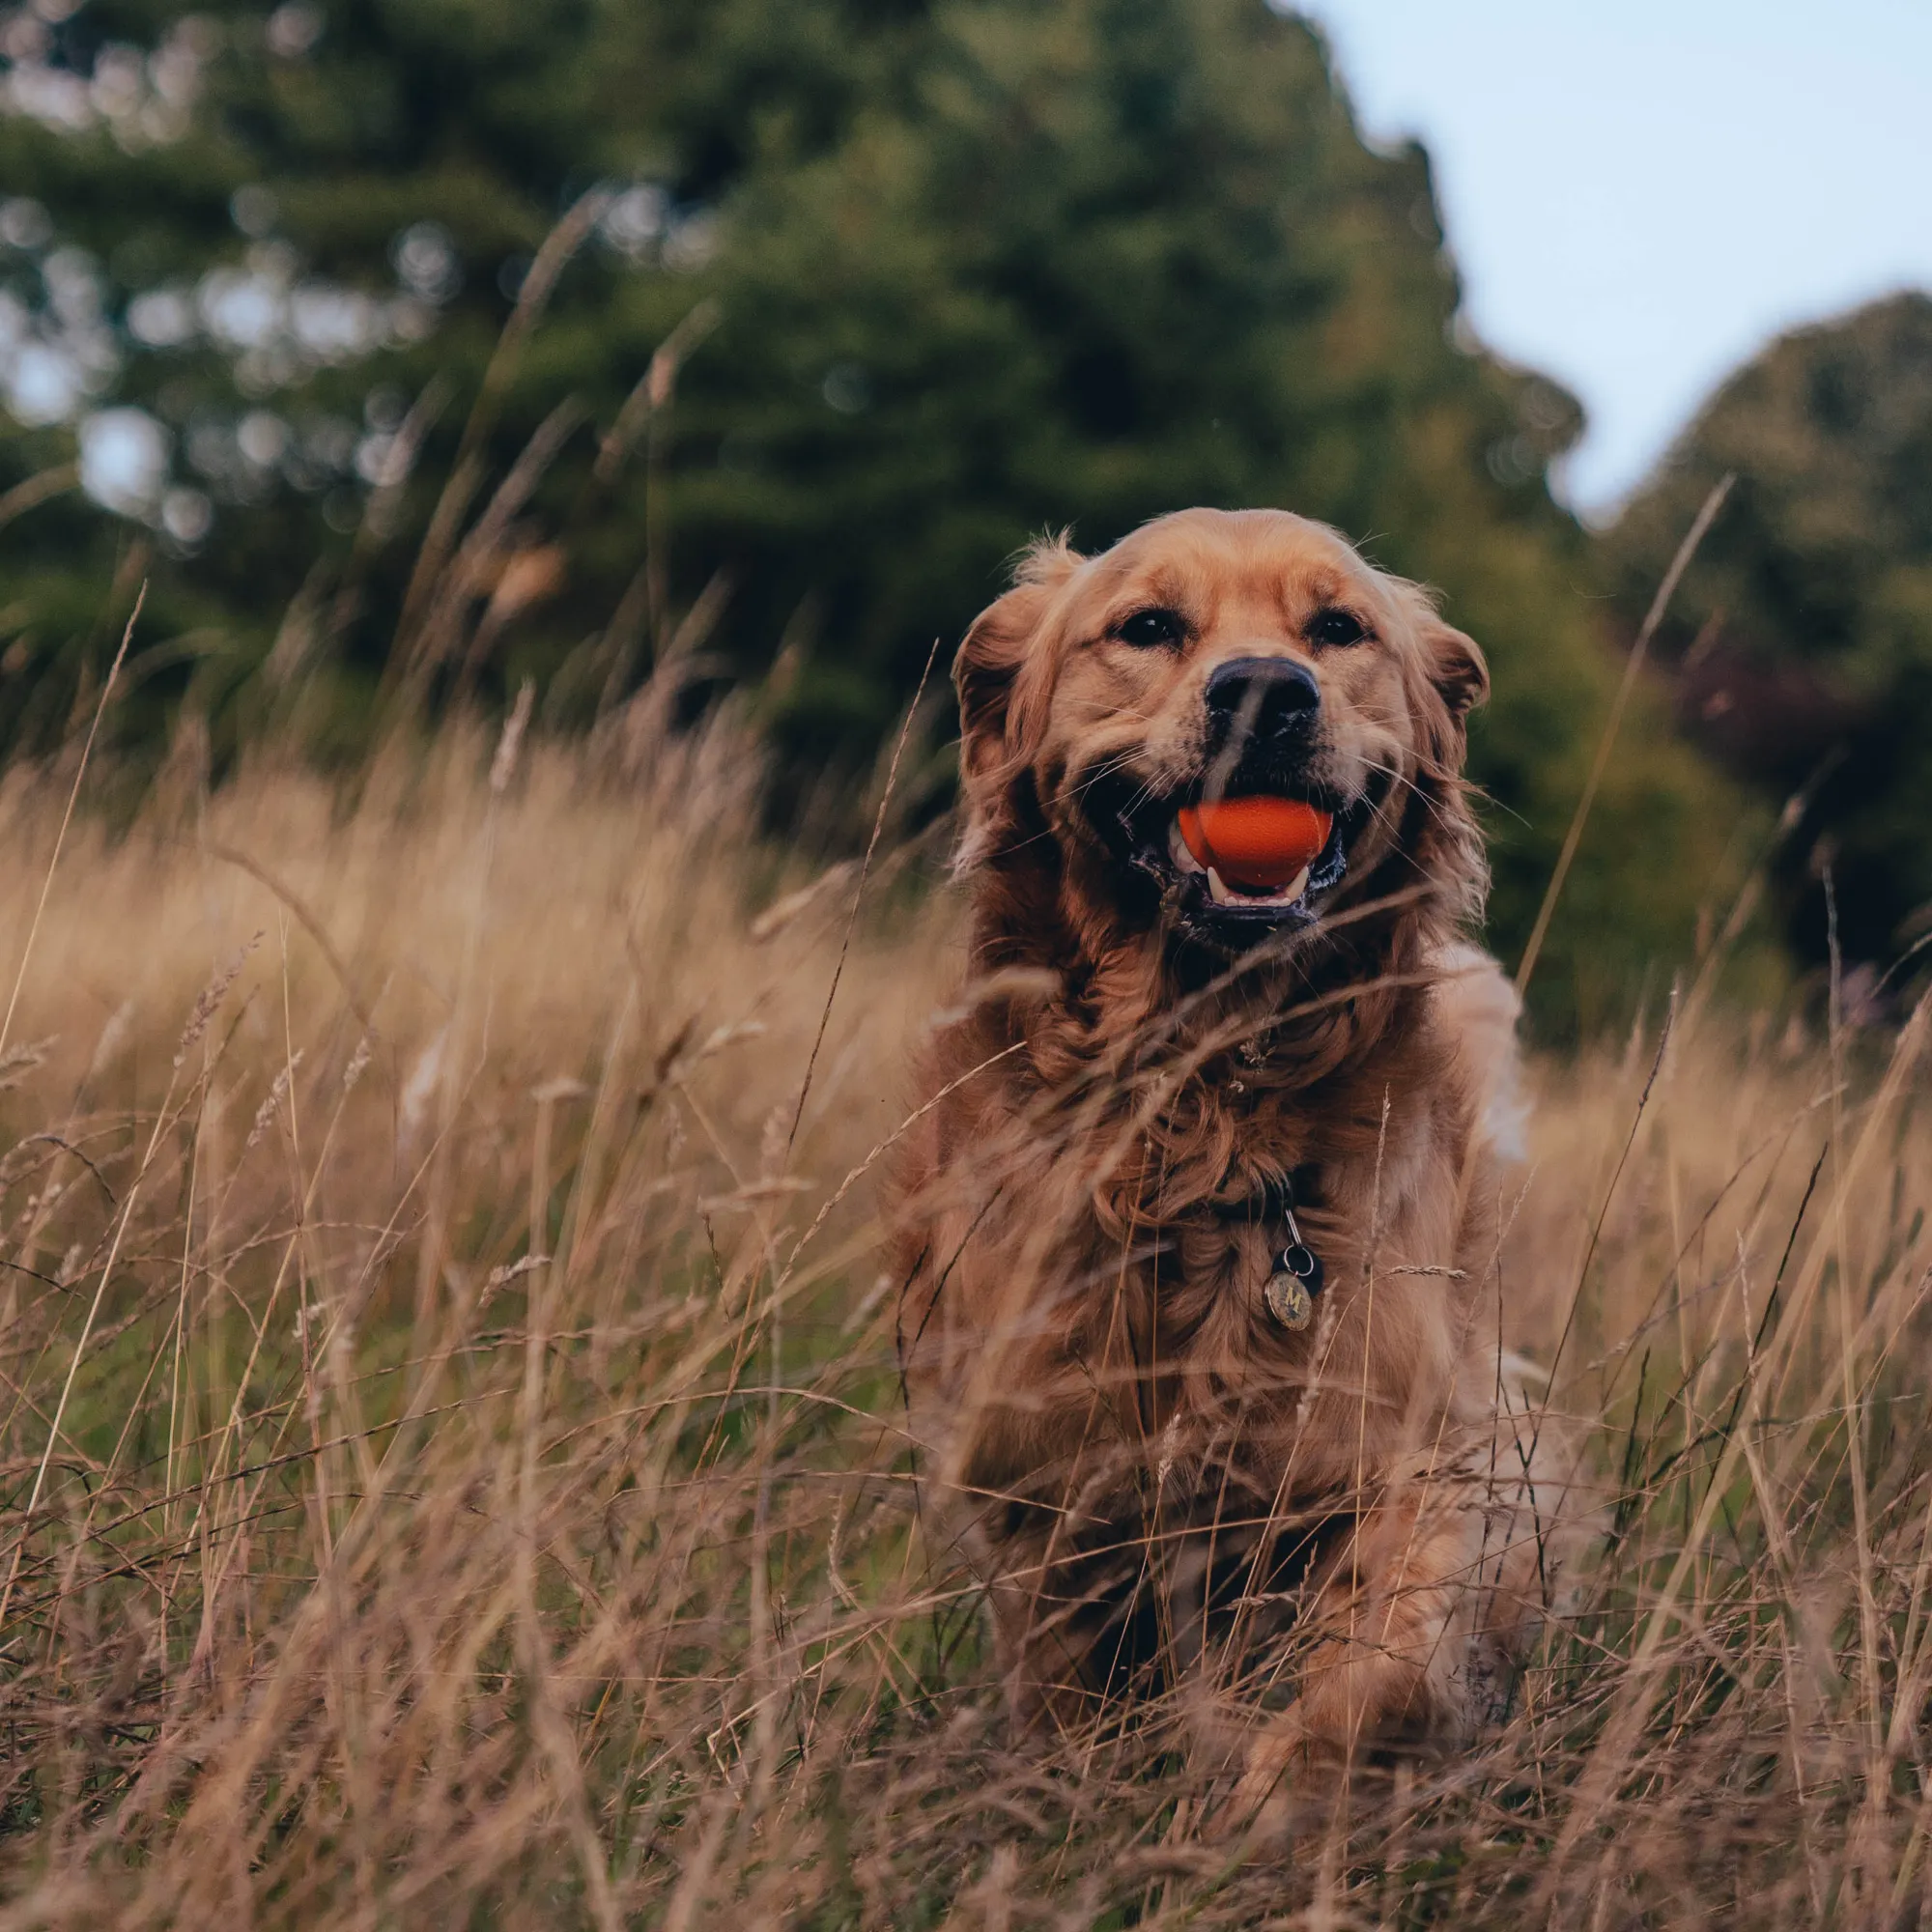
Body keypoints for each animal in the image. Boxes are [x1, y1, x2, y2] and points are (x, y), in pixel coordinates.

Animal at [889, 506, 1553, 1801]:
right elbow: (1068, 1689)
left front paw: (1280, 1785)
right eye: (1147, 626)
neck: (1206, 1107)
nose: (1264, 691)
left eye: (1336, 628)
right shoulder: (1045, 1476)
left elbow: (1386, 1666)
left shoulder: (1416, 1448)